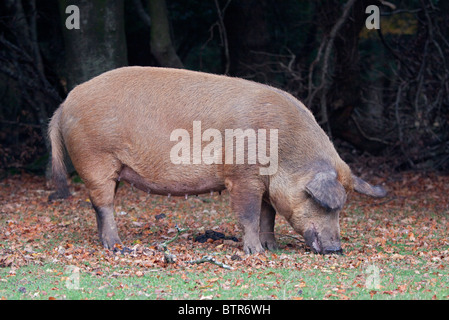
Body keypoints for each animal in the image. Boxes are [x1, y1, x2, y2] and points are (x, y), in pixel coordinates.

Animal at [48, 67, 384, 255]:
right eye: (323, 204)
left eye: (341, 208)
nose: (335, 249)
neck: (282, 152)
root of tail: (65, 102)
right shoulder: (243, 177)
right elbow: (249, 215)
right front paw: (255, 253)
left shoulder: (267, 187)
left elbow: (268, 216)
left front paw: (273, 249)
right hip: (95, 158)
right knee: (103, 204)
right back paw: (117, 246)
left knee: (100, 205)